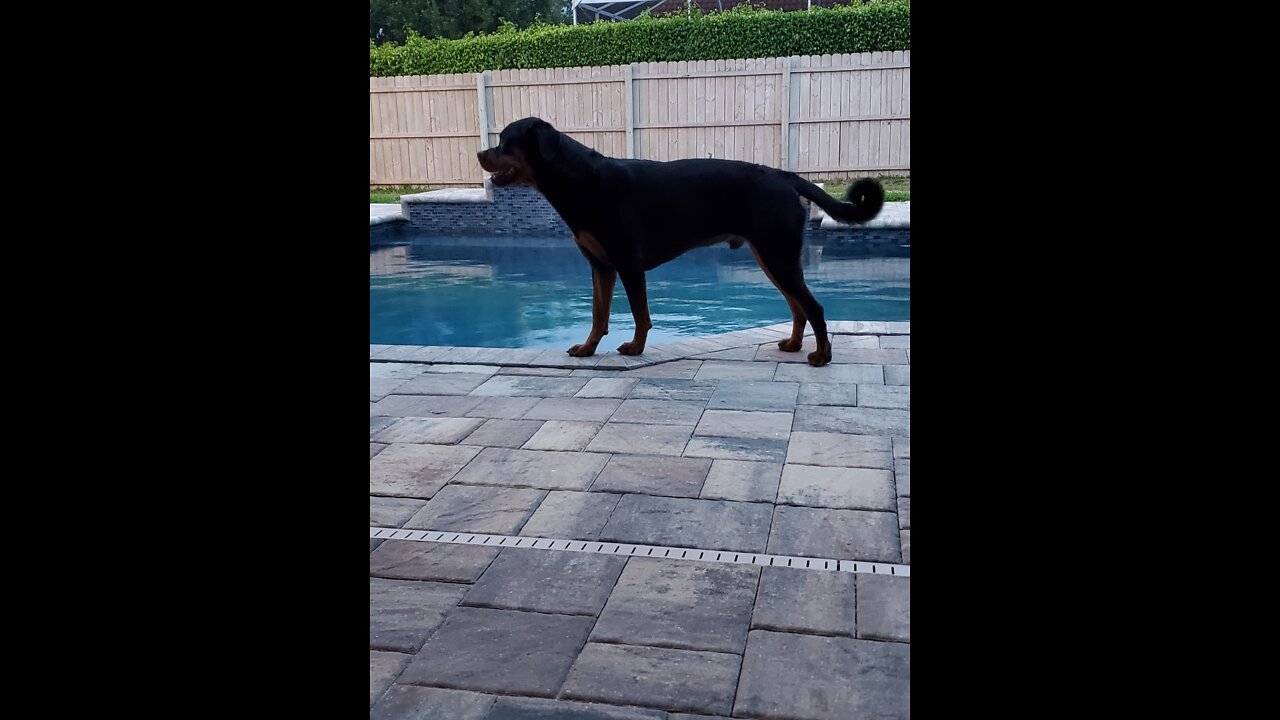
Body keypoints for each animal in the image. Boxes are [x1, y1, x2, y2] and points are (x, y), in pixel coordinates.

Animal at [476, 117, 885, 366]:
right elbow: (598, 314)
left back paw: (821, 355)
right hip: (772, 256)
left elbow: (639, 313)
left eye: (505, 142)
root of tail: (785, 176)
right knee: (797, 306)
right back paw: (795, 344)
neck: (579, 179)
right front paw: (589, 348)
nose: (480, 153)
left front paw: (635, 348)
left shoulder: (628, 262)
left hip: (777, 255)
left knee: (812, 306)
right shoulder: (601, 266)